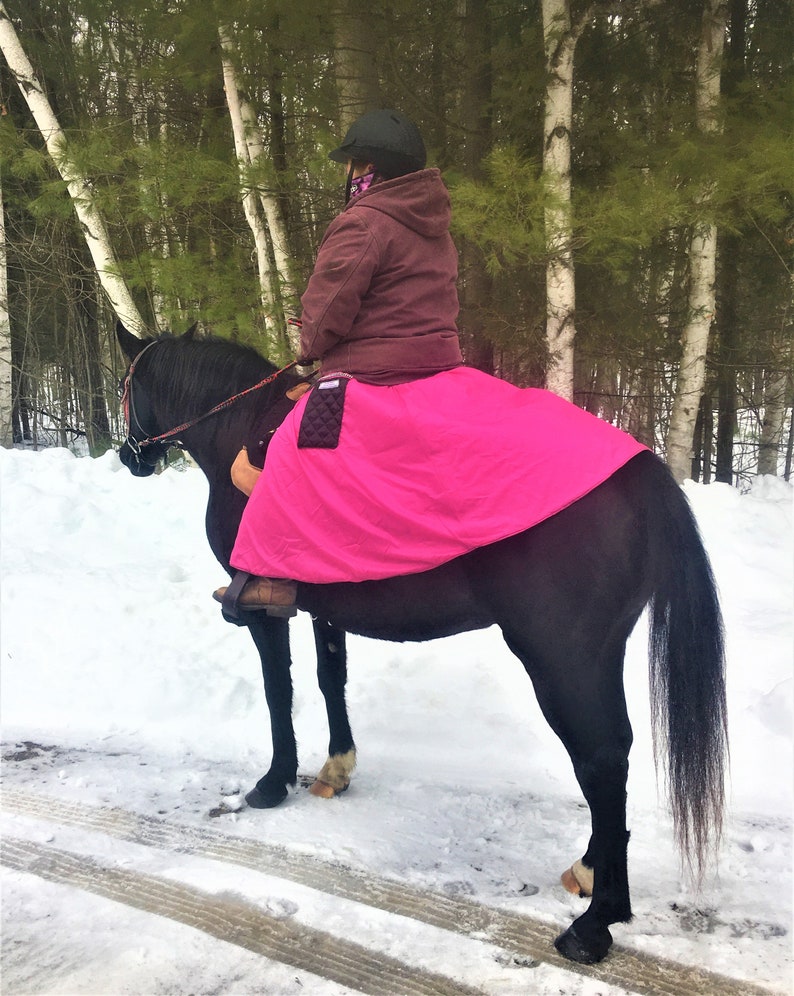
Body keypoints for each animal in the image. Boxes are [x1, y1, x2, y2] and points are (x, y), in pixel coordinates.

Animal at [115, 322, 728, 966]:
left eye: (126, 387)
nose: (130, 456)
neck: (242, 426)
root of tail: (640, 469)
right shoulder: (324, 605)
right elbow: (330, 677)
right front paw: (336, 766)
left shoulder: (262, 610)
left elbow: (278, 690)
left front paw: (274, 781)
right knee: (611, 756)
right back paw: (592, 874)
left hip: (565, 659)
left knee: (602, 759)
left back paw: (598, 919)